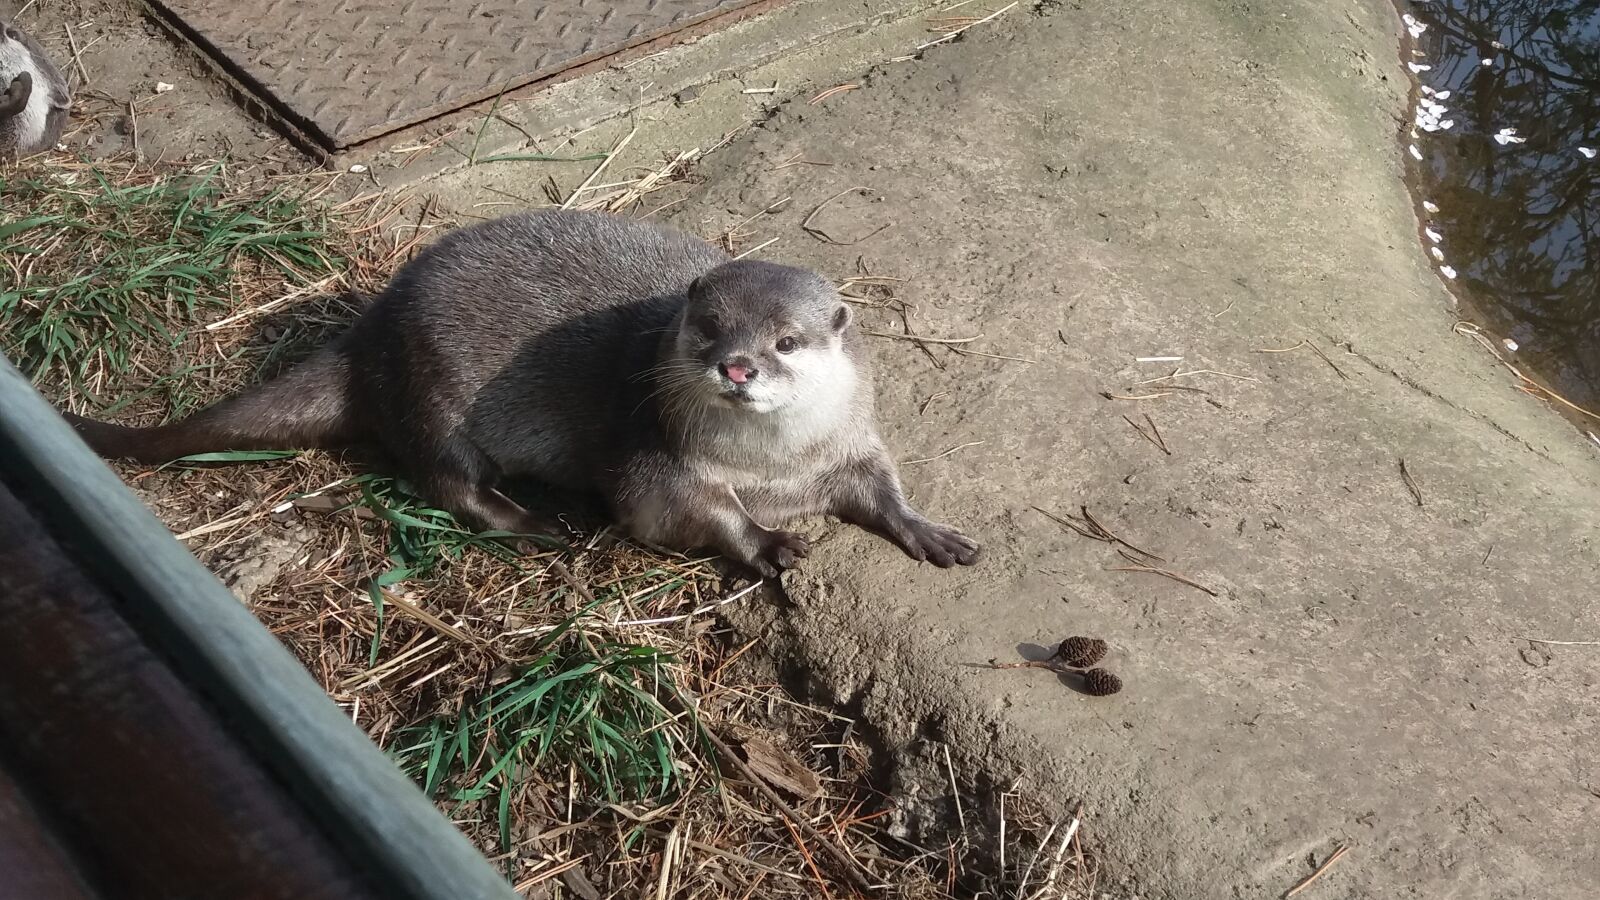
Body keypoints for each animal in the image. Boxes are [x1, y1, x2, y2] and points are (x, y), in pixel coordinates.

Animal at [64, 210, 979, 576]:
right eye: (709, 328)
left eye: (787, 340)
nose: (738, 367)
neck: (775, 470)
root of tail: (373, 325)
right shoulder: (654, 463)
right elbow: (682, 514)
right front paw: (766, 543)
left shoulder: (853, 446)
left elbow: (882, 489)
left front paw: (932, 531)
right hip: (432, 391)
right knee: (449, 483)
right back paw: (540, 524)